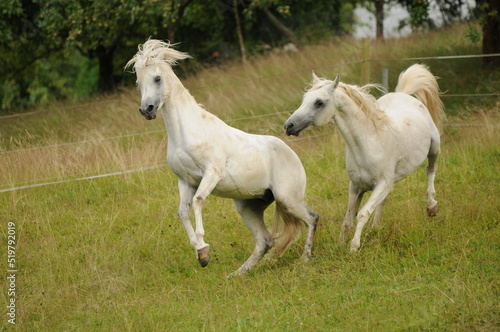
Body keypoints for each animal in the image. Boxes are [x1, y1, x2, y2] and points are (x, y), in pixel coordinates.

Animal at [127, 39, 318, 278]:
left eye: (157, 78)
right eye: (138, 82)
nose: (147, 110)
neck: (187, 132)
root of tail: (292, 154)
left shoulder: (211, 174)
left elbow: (198, 201)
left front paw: (203, 247)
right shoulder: (185, 181)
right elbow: (182, 212)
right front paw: (201, 254)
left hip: (287, 199)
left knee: (312, 218)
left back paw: (306, 259)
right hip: (249, 207)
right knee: (266, 241)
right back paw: (237, 274)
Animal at [286, 65, 446, 252]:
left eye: (319, 102)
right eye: (304, 98)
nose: (289, 126)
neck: (369, 143)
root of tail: (403, 94)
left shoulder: (382, 184)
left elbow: (363, 214)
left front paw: (354, 247)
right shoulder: (356, 186)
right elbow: (348, 219)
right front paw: (340, 244)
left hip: (434, 148)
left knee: (431, 171)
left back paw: (431, 207)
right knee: (384, 200)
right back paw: (374, 229)